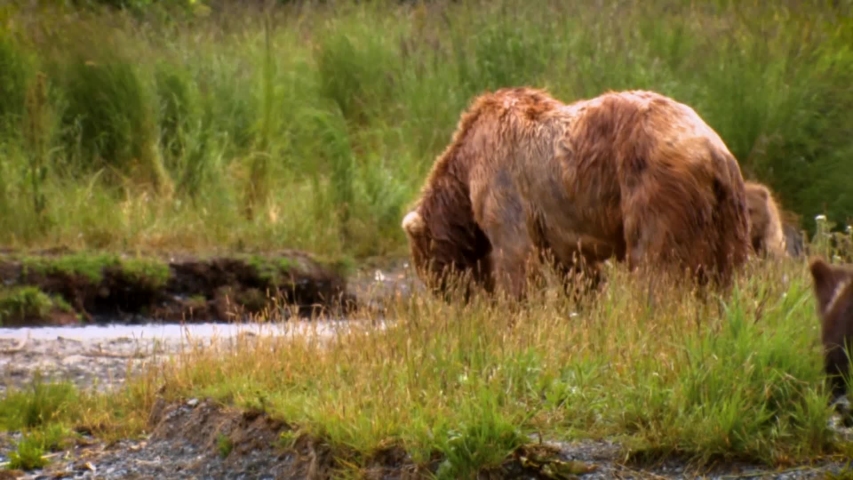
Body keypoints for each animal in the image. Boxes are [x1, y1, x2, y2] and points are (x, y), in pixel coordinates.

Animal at [401, 87, 752, 301]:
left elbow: (516, 257)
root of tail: (713, 152)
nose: (450, 299)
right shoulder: (561, 231)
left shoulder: (500, 180)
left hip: (655, 190)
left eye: (426, 267)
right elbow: (579, 273)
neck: (463, 171)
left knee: (656, 265)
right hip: (728, 214)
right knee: (728, 274)